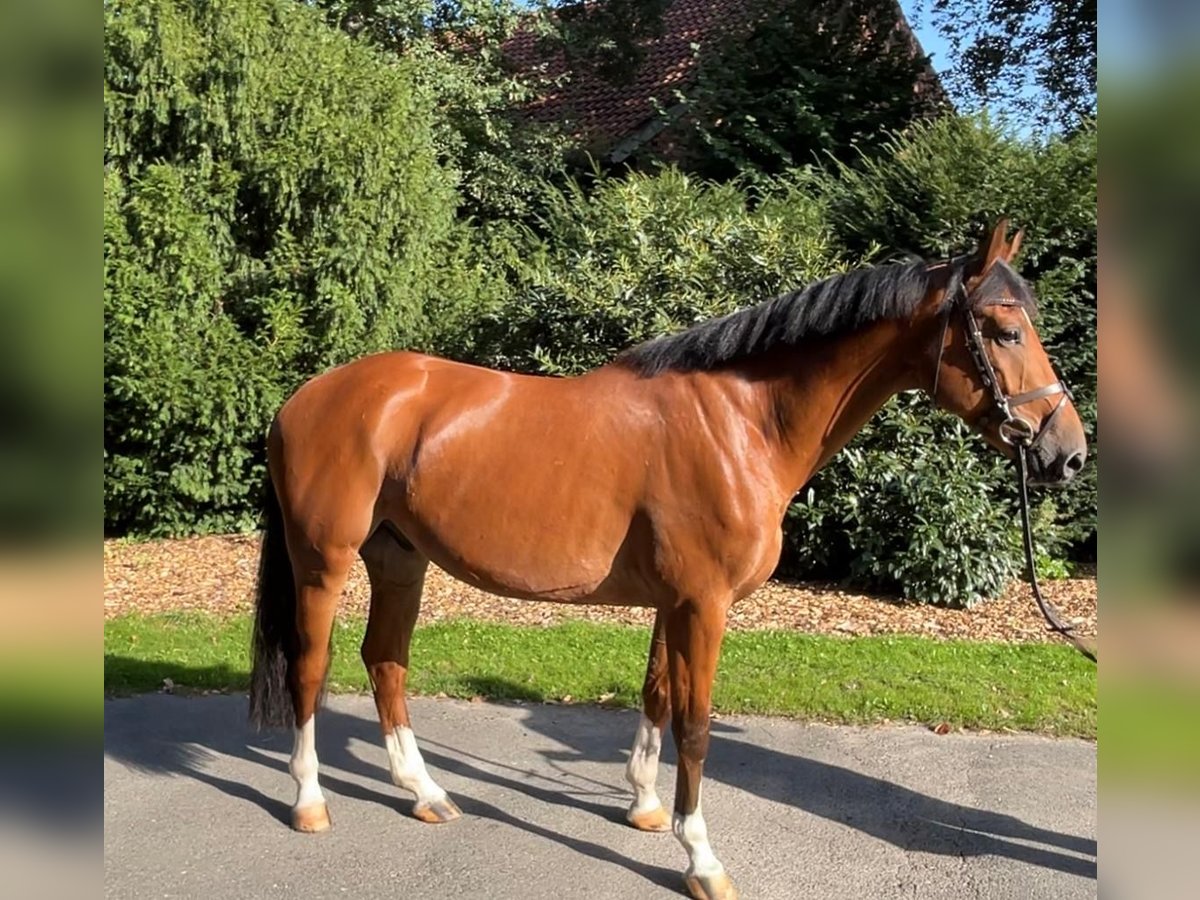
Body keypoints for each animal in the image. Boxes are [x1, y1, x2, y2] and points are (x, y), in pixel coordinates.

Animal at [246, 220, 1089, 900]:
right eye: (1002, 330)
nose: (1068, 451)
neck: (742, 422)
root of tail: (304, 397)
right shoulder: (702, 605)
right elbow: (697, 724)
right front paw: (702, 859)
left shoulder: (672, 602)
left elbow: (654, 696)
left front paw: (646, 808)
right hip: (324, 562)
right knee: (312, 668)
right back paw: (309, 802)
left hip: (400, 560)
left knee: (385, 661)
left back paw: (423, 791)